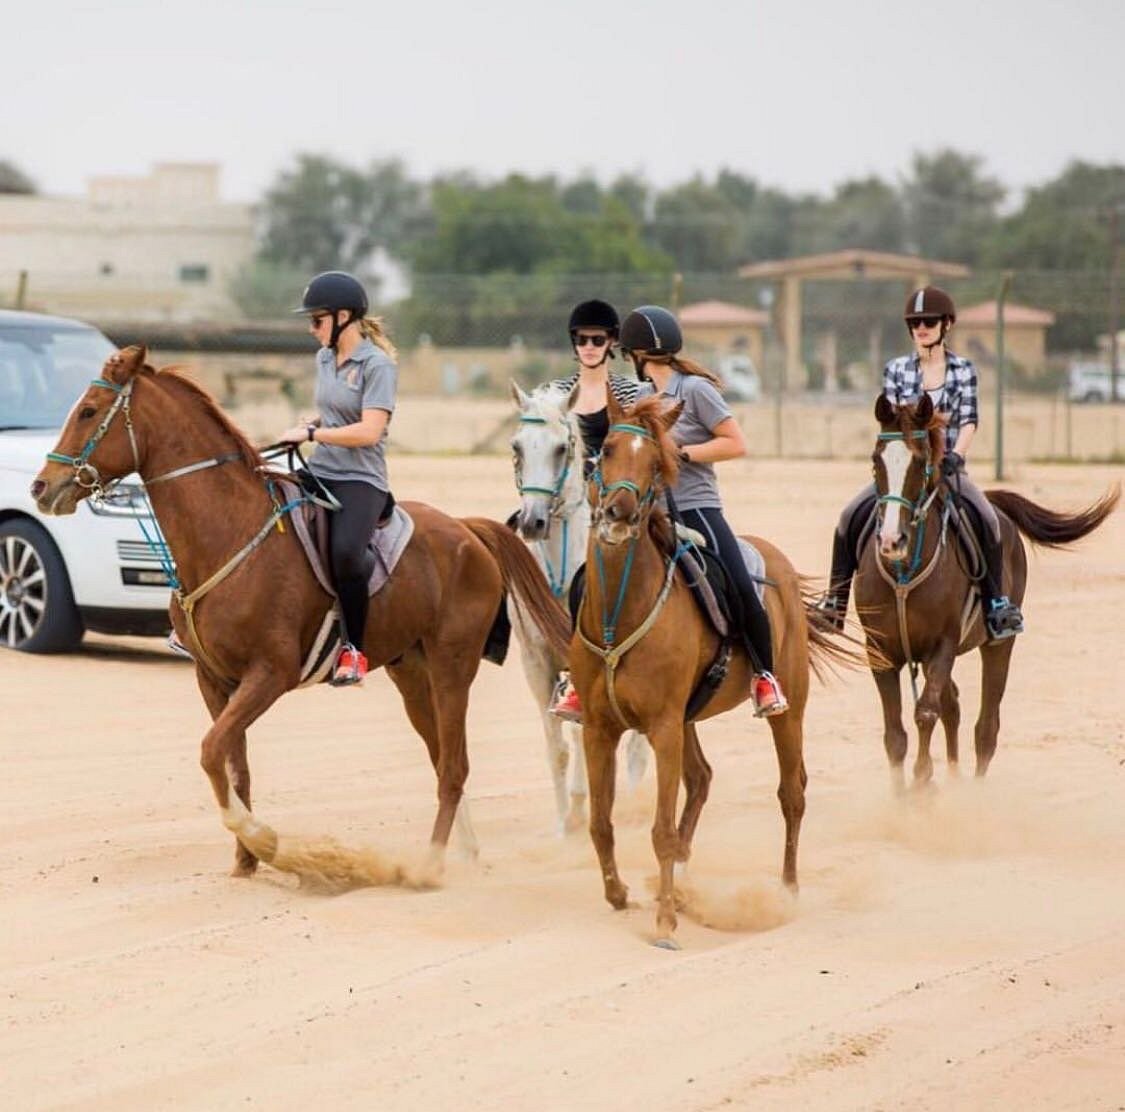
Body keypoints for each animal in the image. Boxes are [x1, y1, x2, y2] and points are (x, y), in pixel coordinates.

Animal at [31, 342, 576, 882]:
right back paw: (459, 853)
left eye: (88, 411)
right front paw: (245, 861)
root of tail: (467, 529)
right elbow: (233, 765)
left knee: (455, 767)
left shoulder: (269, 674)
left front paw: (265, 841)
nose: (42, 487)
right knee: (444, 762)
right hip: (412, 673)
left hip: (451, 668)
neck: (228, 532)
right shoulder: (214, 680)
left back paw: (427, 867)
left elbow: (210, 753)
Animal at [508, 378, 648, 828]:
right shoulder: (536, 663)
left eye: (560, 448)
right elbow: (558, 747)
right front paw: (565, 822)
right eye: (517, 446)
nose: (533, 522)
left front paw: (583, 804)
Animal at [571, 396, 850, 940]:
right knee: (701, 779)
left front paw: (663, 922)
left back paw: (785, 891)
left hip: (787, 710)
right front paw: (620, 895)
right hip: (688, 720)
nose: (619, 513)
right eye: (607, 447)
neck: (620, 616)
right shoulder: (599, 728)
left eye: (655, 463)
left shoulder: (661, 728)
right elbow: (600, 822)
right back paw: (680, 884)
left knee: (792, 792)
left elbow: (659, 830)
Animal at [859, 396, 1116, 787]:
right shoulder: (881, 651)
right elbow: (895, 734)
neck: (904, 573)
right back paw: (952, 776)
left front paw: (921, 781)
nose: (891, 540)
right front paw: (904, 793)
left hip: (998, 645)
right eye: (877, 460)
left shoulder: (943, 645)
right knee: (953, 705)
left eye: (920, 461)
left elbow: (926, 713)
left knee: (985, 727)